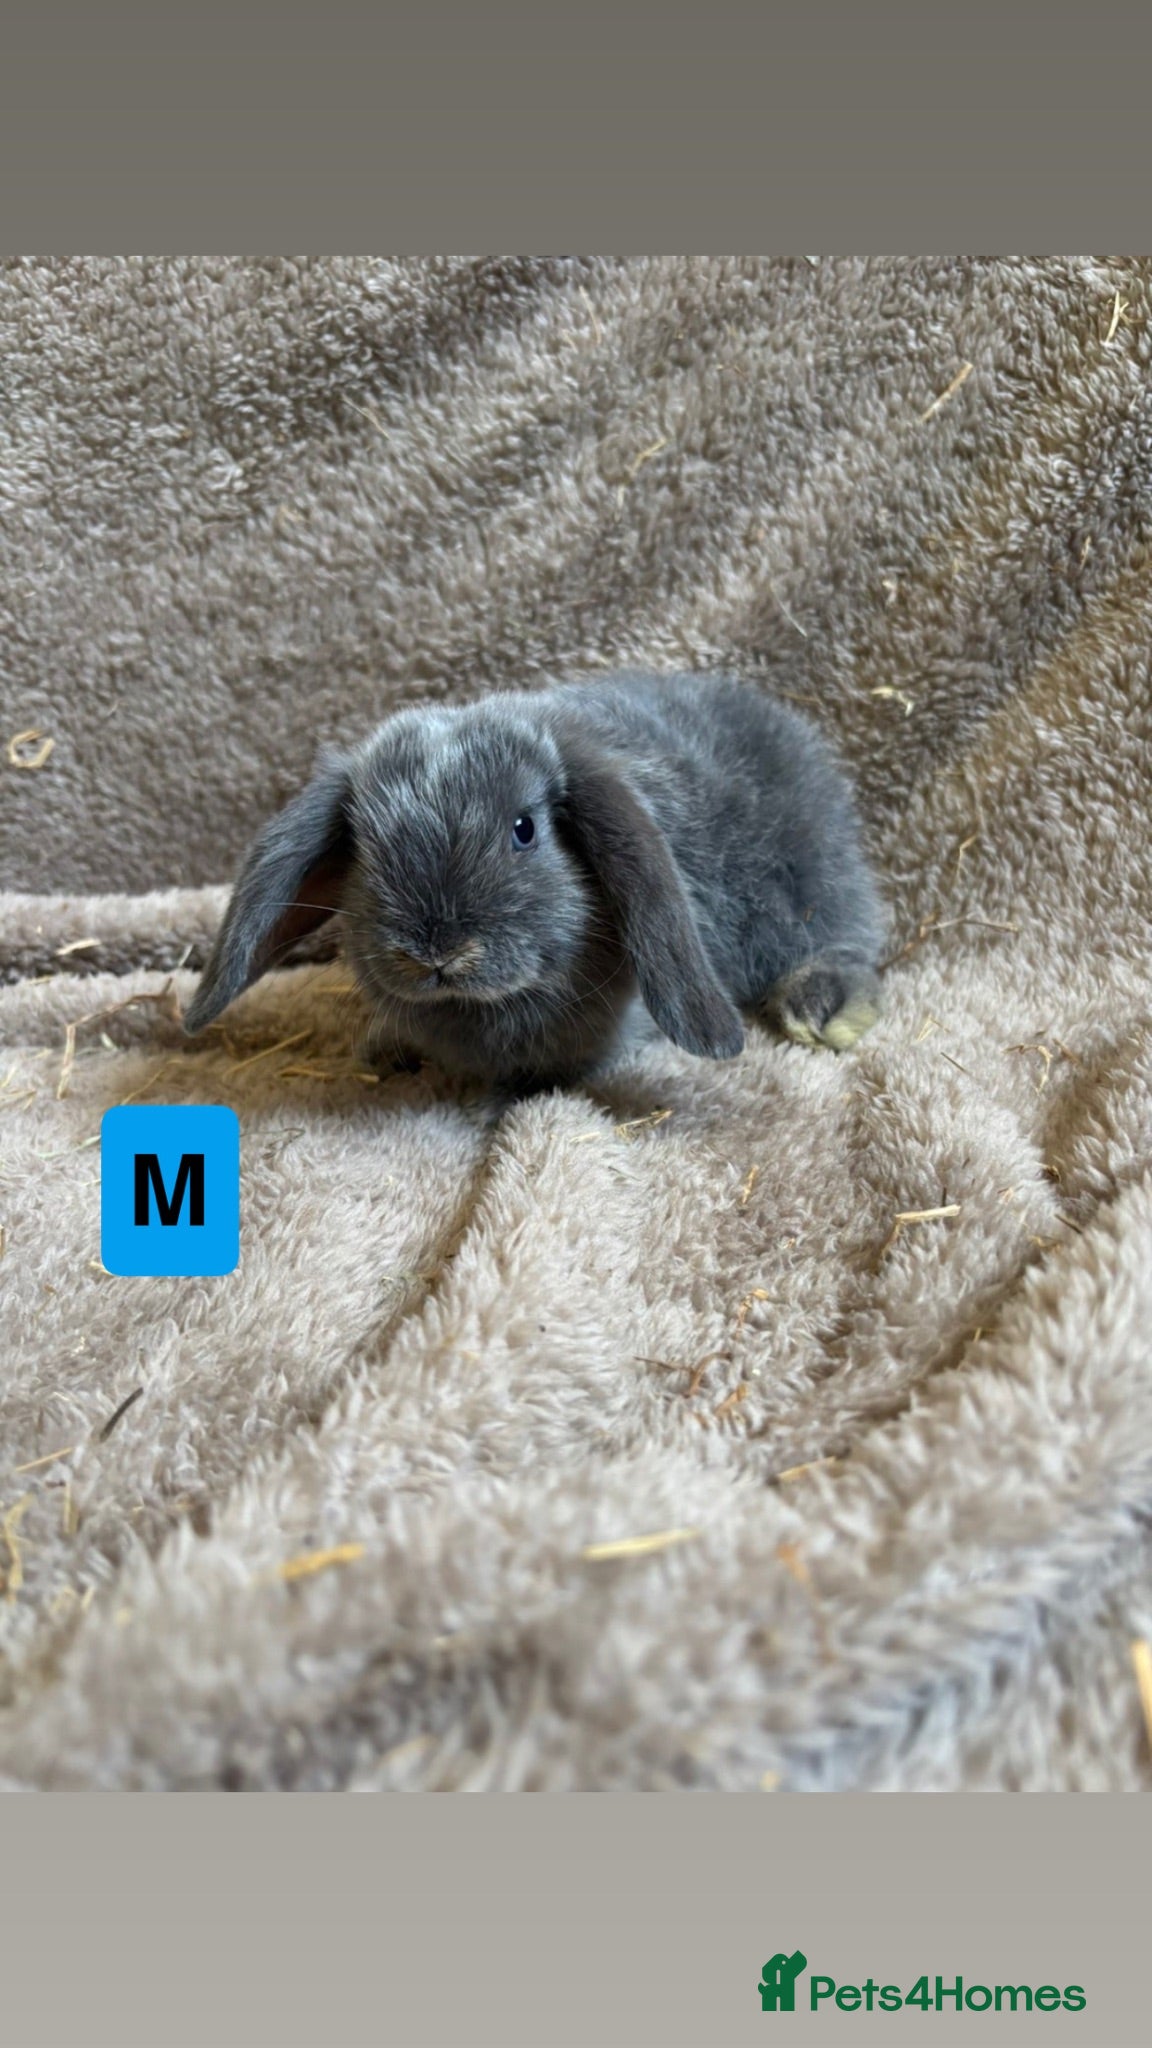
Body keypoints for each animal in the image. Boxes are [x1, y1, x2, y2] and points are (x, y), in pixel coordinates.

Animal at [182, 670, 887, 1089]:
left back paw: (822, 1010)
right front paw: (385, 1050)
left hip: (817, 888)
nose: (436, 952)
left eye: (524, 829)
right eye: (363, 845)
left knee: (847, 943)